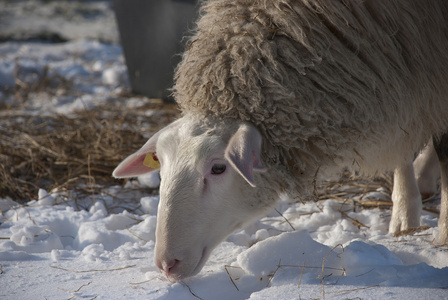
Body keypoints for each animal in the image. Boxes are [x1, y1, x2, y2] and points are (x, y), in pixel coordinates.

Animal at [114, 0, 448, 280]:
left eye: (218, 168)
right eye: (161, 167)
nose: (166, 264)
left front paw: (442, 235)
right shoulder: (404, 73)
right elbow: (403, 146)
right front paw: (405, 216)